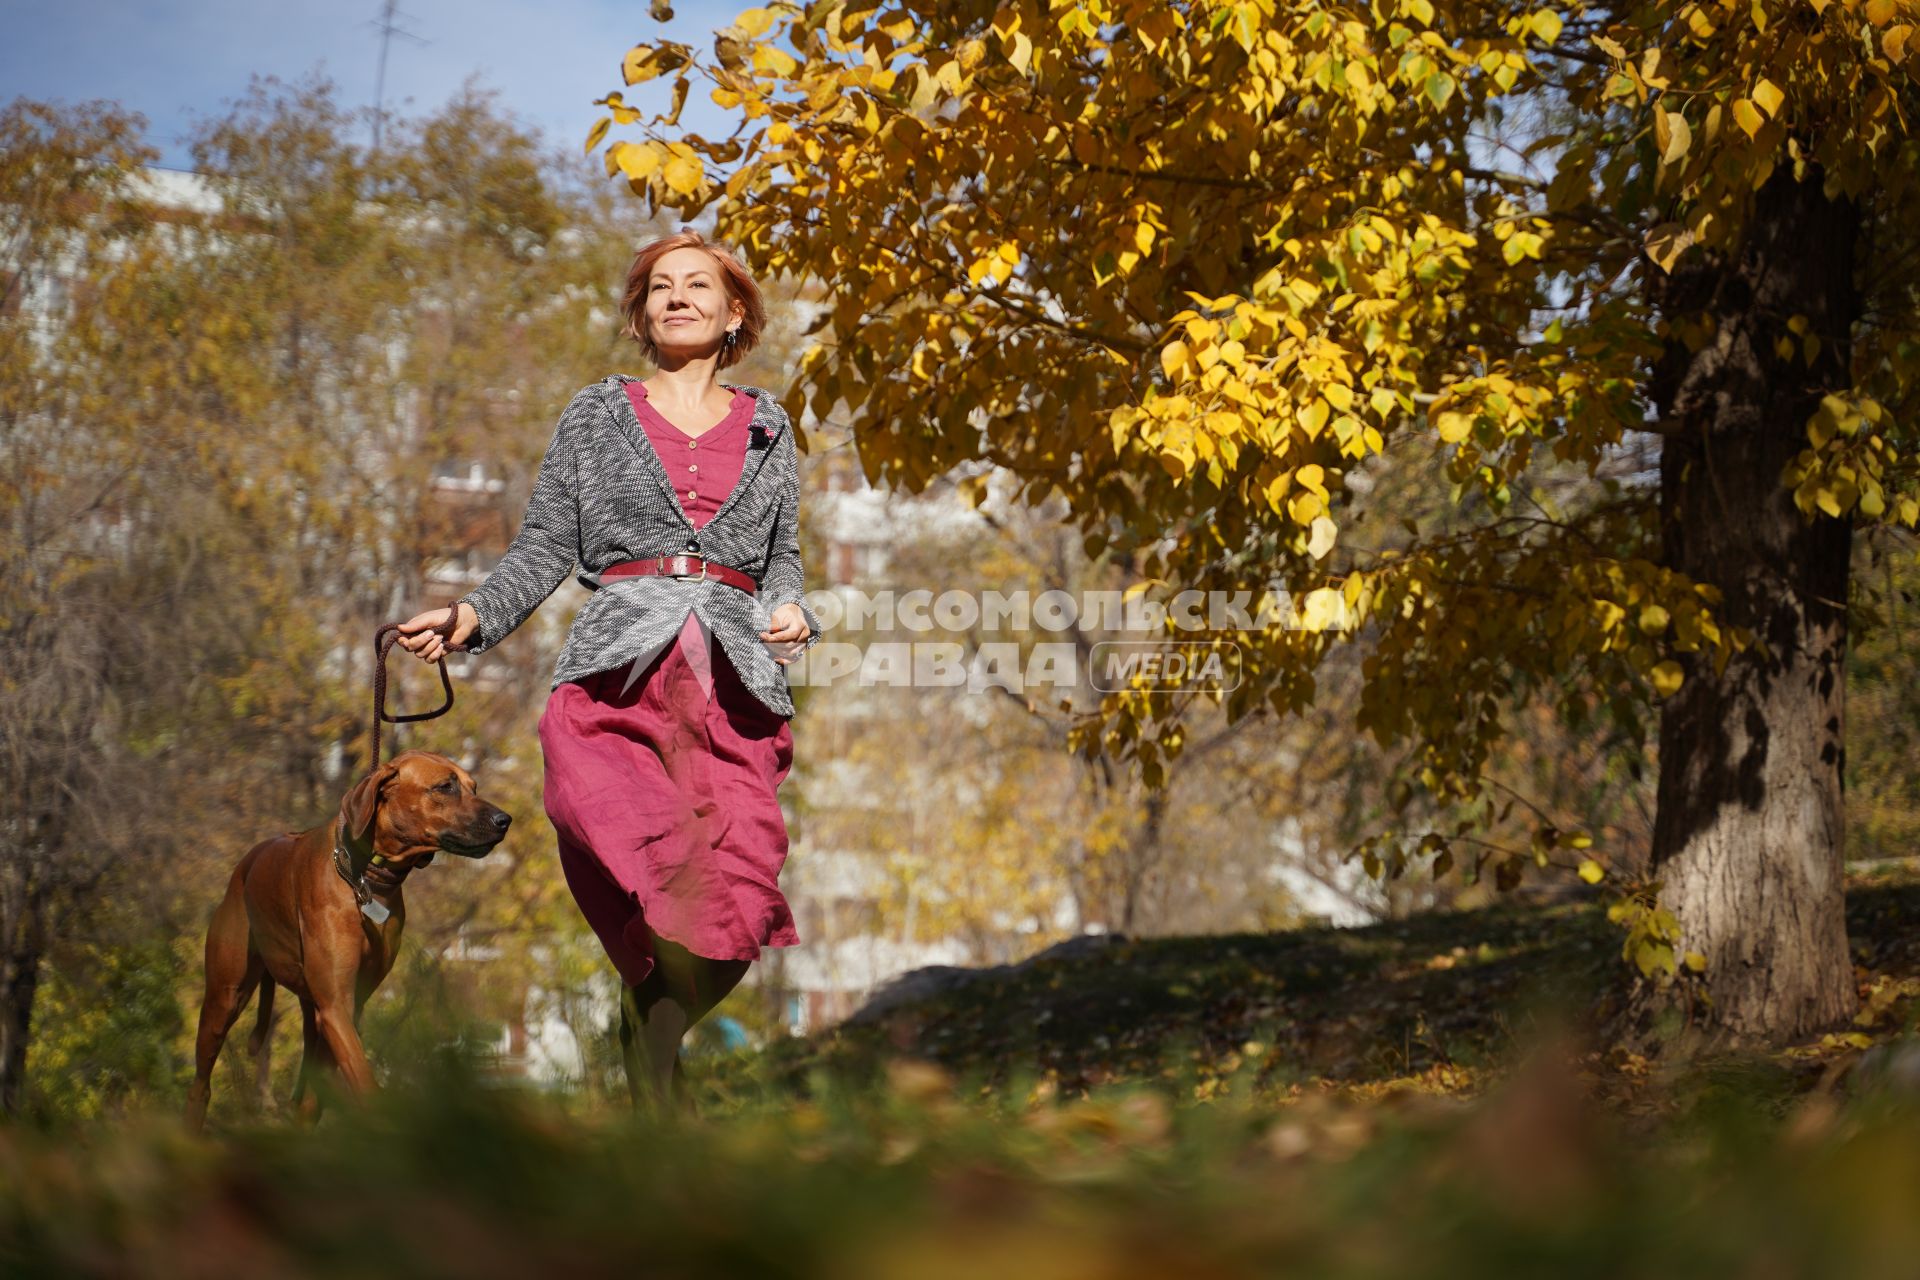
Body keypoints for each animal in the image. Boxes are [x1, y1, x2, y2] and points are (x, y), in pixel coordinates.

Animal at [186, 752, 510, 1128]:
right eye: (445, 786)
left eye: (474, 787)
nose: (505, 820)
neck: (363, 877)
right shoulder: (335, 1005)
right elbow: (364, 1083)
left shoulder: (349, 1004)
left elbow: (320, 1093)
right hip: (224, 999)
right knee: (201, 1084)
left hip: (308, 1011)